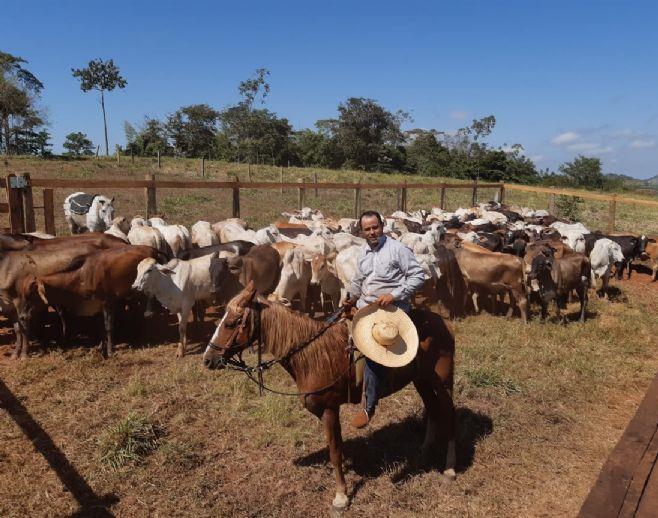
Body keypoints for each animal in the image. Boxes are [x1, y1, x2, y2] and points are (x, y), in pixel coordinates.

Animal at [16, 246, 160, 360]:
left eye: (31, 295)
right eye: (23, 295)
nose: (22, 316)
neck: (81, 277)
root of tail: (152, 248)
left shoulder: (108, 302)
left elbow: (108, 327)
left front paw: (110, 351)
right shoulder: (96, 306)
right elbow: (100, 328)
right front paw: (101, 347)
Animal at [202, 282, 454, 510]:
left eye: (231, 323)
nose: (207, 359)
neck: (311, 355)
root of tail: (442, 322)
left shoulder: (329, 409)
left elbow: (335, 451)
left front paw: (341, 496)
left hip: (441, 381)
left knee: (448, 415)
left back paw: (449, 469)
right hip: (421, 381)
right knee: (434, 412)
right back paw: (423, 455)